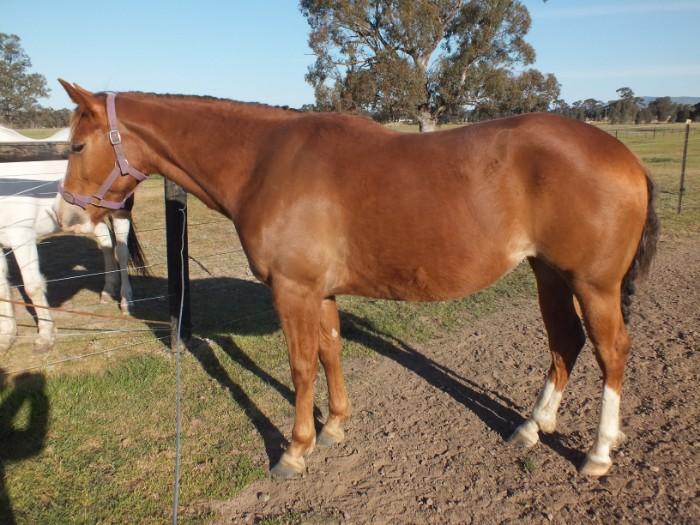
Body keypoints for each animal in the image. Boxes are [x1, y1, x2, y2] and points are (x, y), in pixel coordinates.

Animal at [0, 158, 147, 353]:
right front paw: (6, 337)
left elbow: (32, 287)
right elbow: (2, 289)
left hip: (120, 211)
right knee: (106, 243)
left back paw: (126, 301)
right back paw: (108, 291)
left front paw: (45, 336)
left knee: (121, 252)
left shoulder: (22, 236)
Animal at [56, 81, 658, 479]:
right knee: (565, 342)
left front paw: (295, 449)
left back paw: (598, 454)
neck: (265, 163)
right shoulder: (320, 292)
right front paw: (335, 427)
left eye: (77, 145)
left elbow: (301, 367)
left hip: (593, 285)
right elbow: (331, 351)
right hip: (549, 274)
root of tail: (624, 156)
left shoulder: (292, 290)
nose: (66, 215)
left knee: (611, 351)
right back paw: (532, 428)